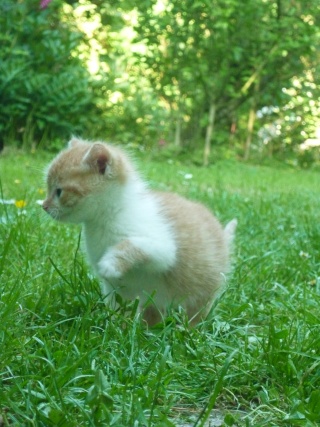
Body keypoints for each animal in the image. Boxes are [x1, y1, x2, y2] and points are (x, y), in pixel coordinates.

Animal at [42, 139, 236, 326]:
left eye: (59, 191)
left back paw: (187, 330)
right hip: (156, 298)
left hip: (201, 289)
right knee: (153, 312)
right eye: (48, 188)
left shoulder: (164, 248)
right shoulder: (115, 288)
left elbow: (134, 244)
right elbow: (117, 308)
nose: (44, 206)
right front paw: (116, 328)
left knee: (196, 313)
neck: (109, 215)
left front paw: (109, 264)